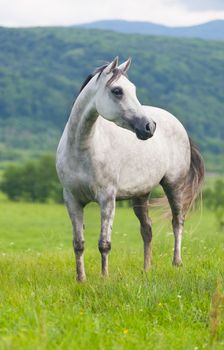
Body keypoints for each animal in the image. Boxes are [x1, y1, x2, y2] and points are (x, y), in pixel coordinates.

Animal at [56, 57, 205, 282]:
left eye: (133, 89)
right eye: (117, 91)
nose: (149, 127)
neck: (82, 149)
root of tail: (177, 124)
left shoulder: (107, 198)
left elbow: (104, 244)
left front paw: (104, 278)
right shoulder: (72, 200)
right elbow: (78, 244)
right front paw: (81, 280)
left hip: (174, 186)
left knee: (177, 221)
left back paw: (177, 263)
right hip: (141, 194)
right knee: (147, 230)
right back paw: (146, 269)